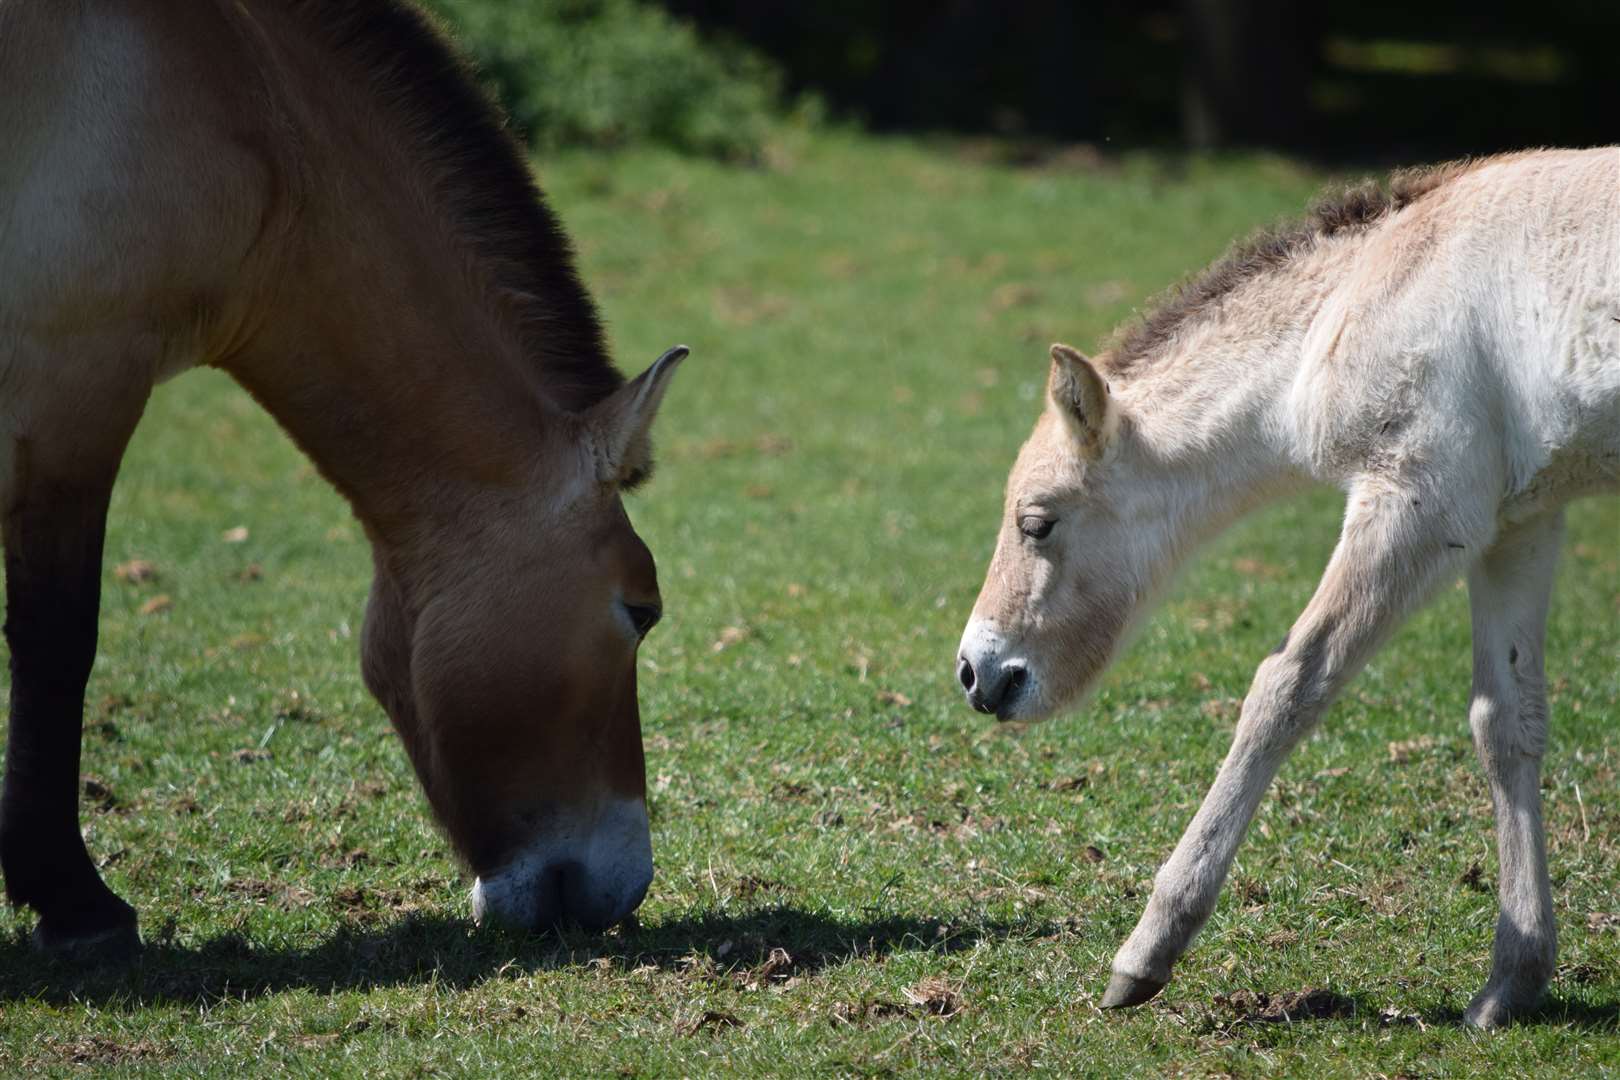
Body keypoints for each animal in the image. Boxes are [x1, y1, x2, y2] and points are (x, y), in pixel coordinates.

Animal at [0, 0, 686, 952]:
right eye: (641, 610)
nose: (626, 890)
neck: (238, 94)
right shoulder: (78, 384)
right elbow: (58, 639)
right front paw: (75, 901)